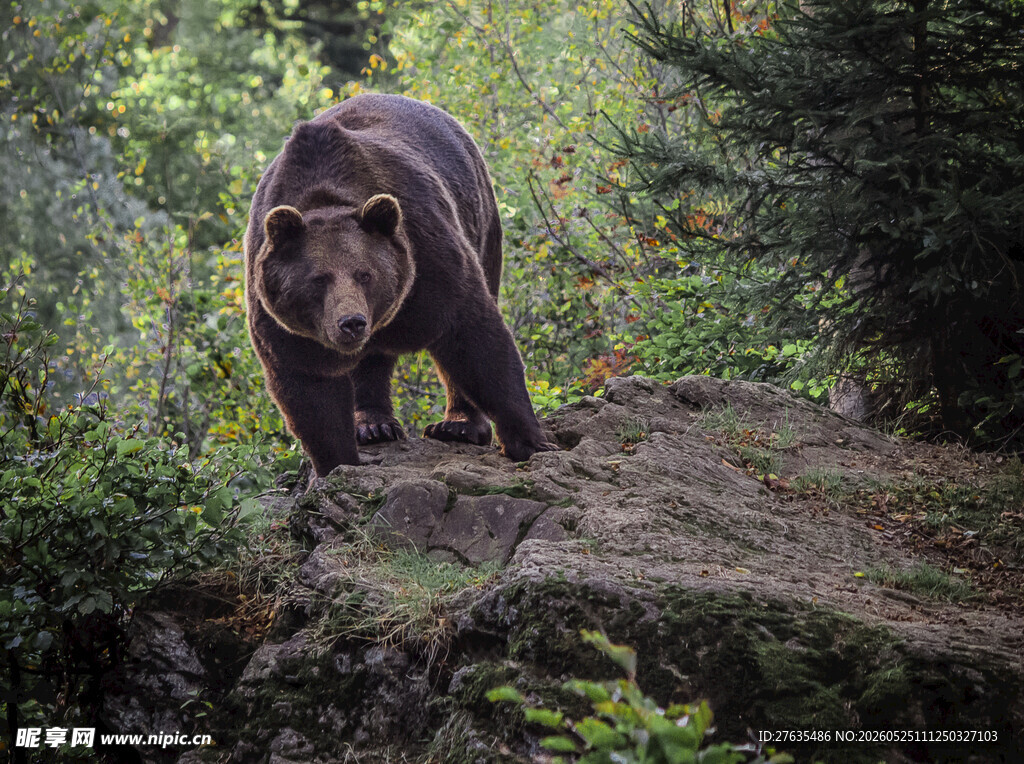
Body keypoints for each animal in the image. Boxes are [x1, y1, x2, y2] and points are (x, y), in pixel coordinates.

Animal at [244, 93, 557, 476]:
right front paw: (338, 464)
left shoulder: (427, 257)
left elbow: (475, 339)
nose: (351, 323)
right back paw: (373, 424)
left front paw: (531, 441)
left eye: (365, 274)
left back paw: (457, 425)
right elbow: (309, 390)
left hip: (482, 223)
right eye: (319, 279)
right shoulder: (282, 321)